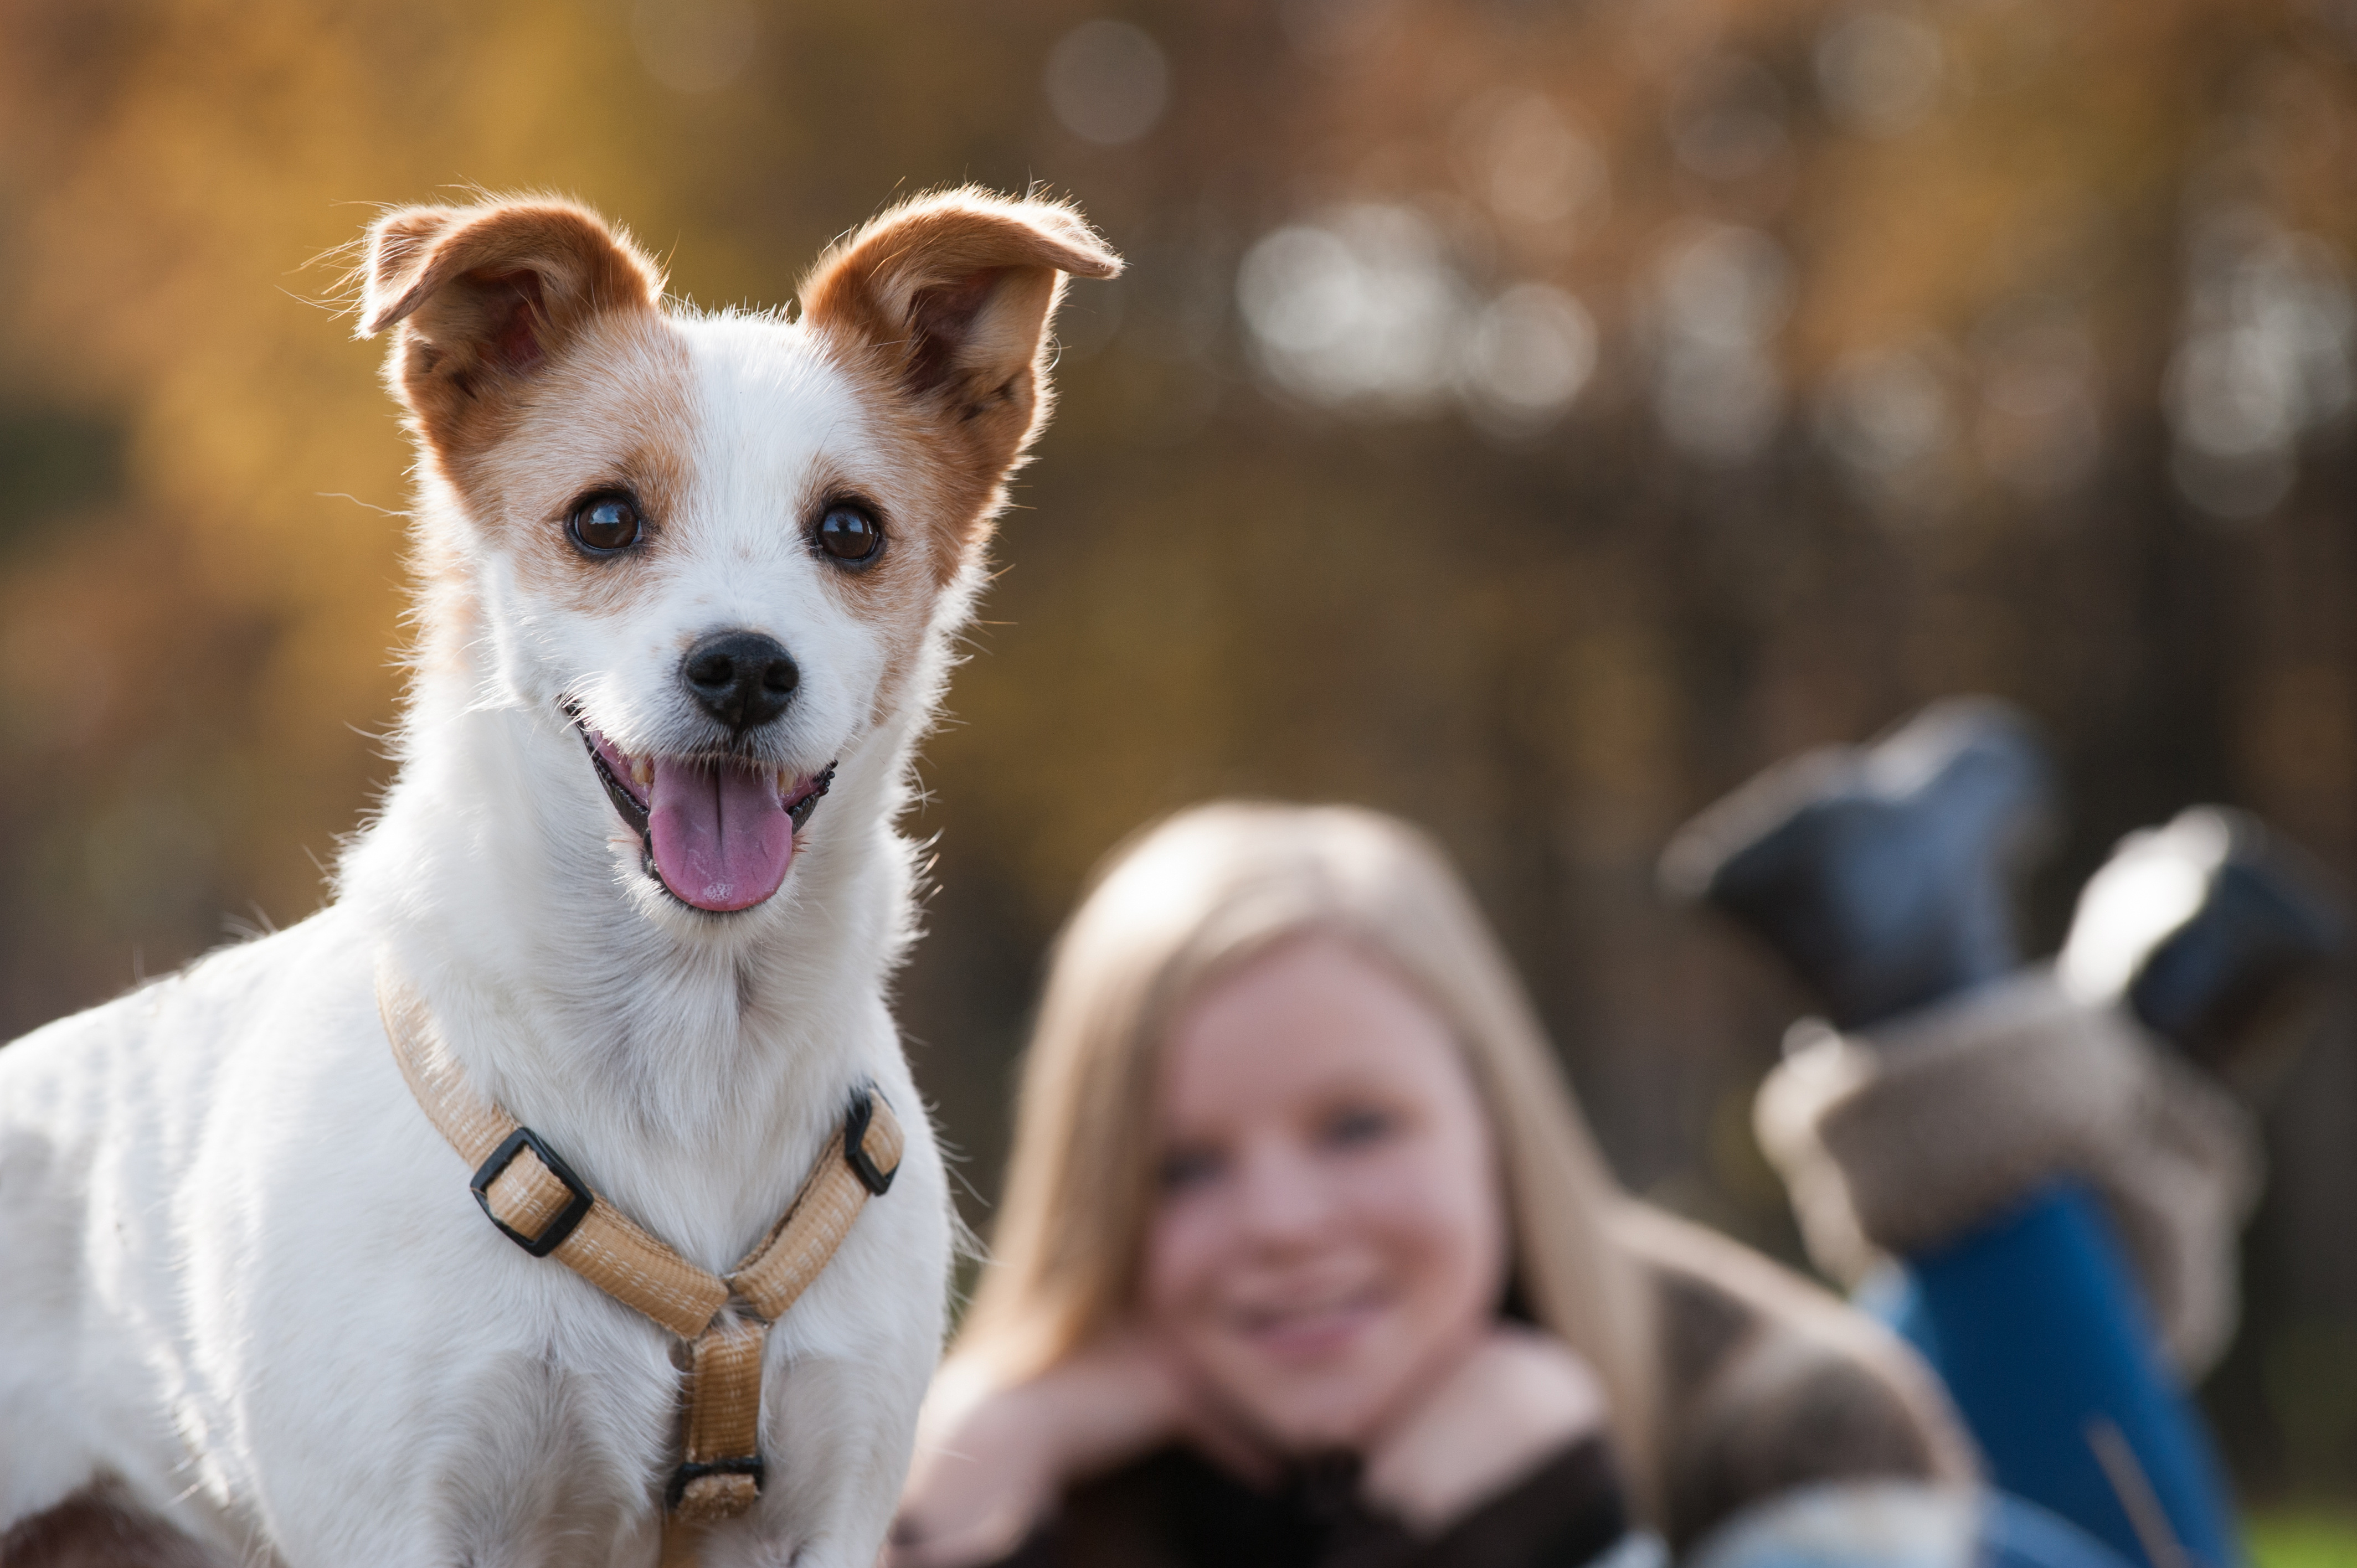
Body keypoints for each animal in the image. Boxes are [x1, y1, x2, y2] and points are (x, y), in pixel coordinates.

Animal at [0, 186, 1121, 1565]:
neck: (688, 1043)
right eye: (604, 519)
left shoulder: (832, 1509)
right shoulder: (394, 1514)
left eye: (851, 531)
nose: (743, 668)